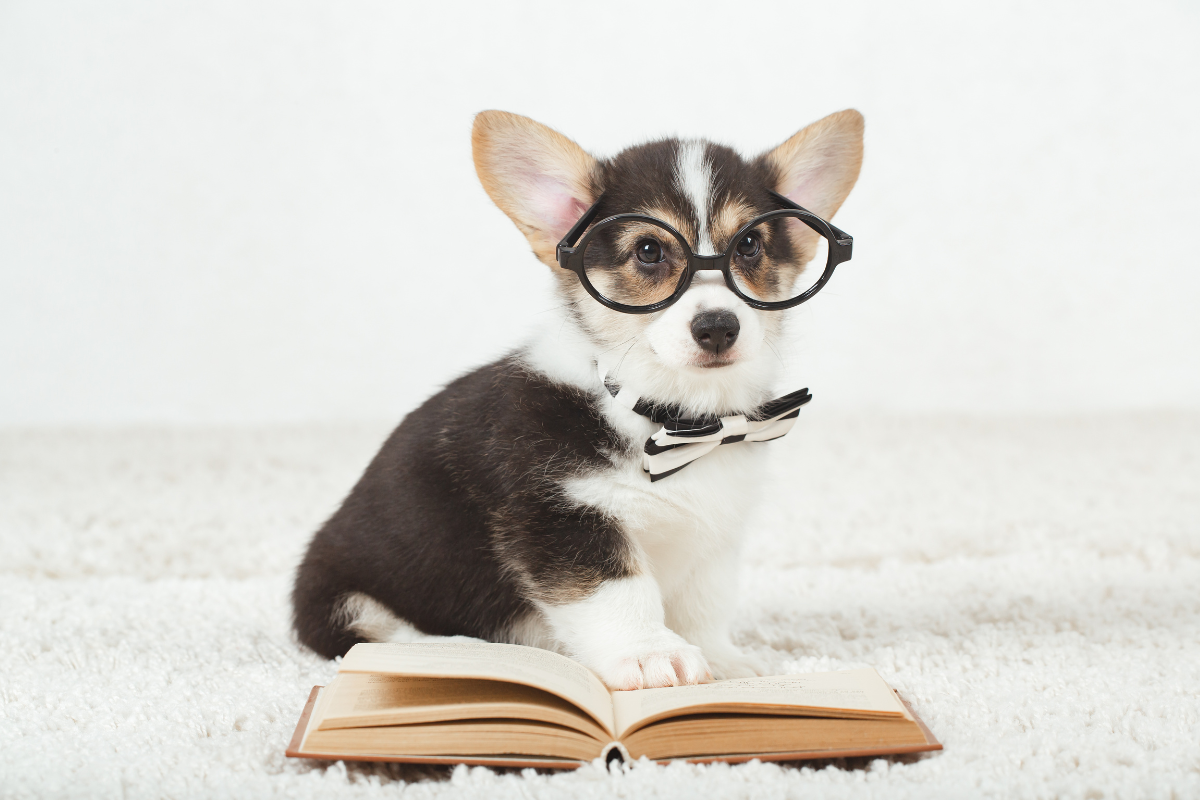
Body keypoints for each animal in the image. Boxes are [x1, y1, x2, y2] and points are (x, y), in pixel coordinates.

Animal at [290, 109, 864, 690]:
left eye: (749, 246)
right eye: (649, 250)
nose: (718, 327)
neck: (669, 418)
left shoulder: (713, 538)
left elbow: (705, 601)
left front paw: (722, 660)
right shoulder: (563, 519)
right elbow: (620, 591)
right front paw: (652, 654)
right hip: (340, 594)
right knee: (378, 634)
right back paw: (466, 650)